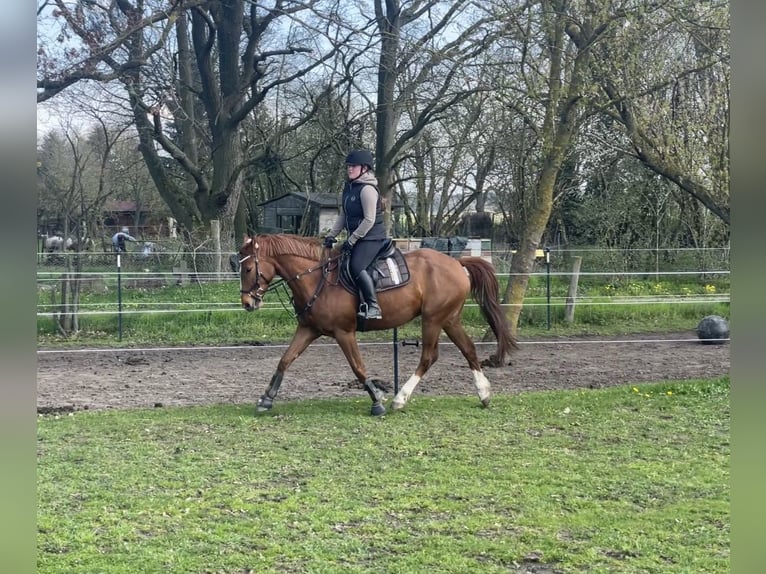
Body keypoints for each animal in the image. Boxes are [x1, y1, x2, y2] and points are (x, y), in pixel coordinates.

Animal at [238, 233, 518, 416]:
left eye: (249, 268)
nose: (247, 303)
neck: (317, 278)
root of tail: (457, 264)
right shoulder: (309, 329)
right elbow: (284, 360)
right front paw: (266, 399)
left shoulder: (344, 332)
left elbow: (358, 368)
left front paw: (377, 401)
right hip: (449, 319)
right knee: (468, 349)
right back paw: (484, 394)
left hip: (433, 319)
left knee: (429, 356)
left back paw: (400, 399)